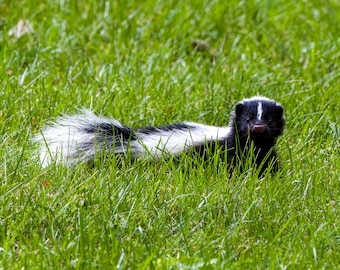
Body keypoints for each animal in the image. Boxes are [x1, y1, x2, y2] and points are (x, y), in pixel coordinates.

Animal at [34, 96, 284, 173]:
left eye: (270, 120)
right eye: (248, 119)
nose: (258, 127)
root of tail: (136, 141)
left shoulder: (266, 152)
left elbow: (268, 166)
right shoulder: (228, 151)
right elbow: (232, 167)